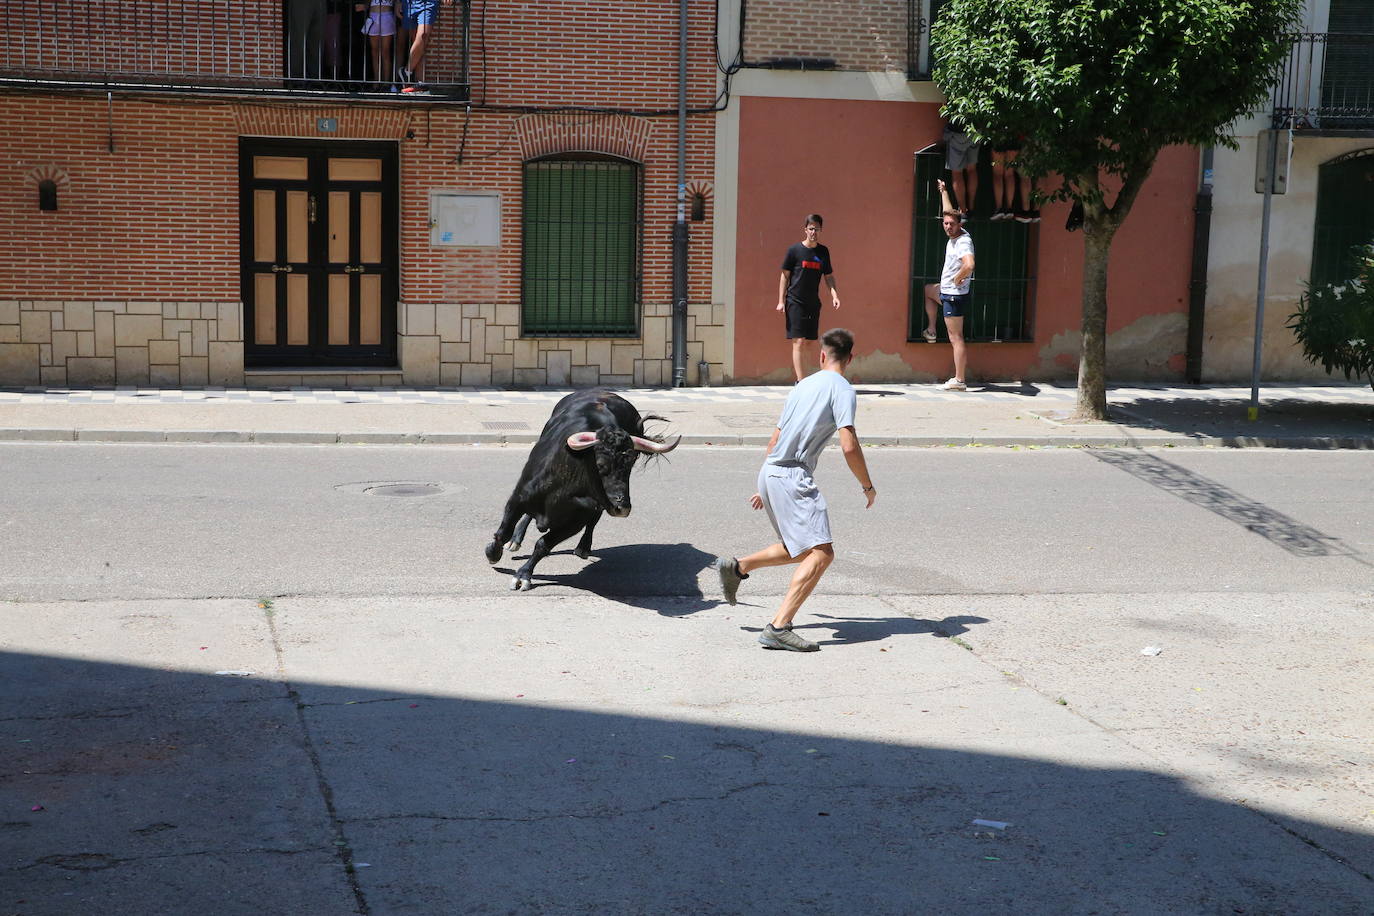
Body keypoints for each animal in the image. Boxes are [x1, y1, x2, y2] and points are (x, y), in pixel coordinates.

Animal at [486, 390, 678, 590]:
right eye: (600, 464)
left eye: (631, 463)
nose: (622, 507)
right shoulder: (518, 498)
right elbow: (503, 532)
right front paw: (493, 553)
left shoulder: (577, 520)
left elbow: (543, 544)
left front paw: (523, 574)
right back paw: (515, 540)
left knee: (593, 521)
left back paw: (584, 548)